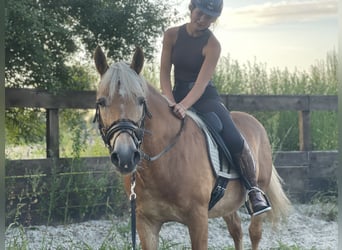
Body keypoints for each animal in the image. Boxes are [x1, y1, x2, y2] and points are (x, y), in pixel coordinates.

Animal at [93, 45, 292, 250]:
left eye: (141, 100)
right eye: (101, 102)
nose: (125, 156)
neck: (165, 161)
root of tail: (255, 122)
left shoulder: (198, 219)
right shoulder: (145, 222)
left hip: (258, 190)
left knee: (254, 233)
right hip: (226, 205)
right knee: (236, 230)